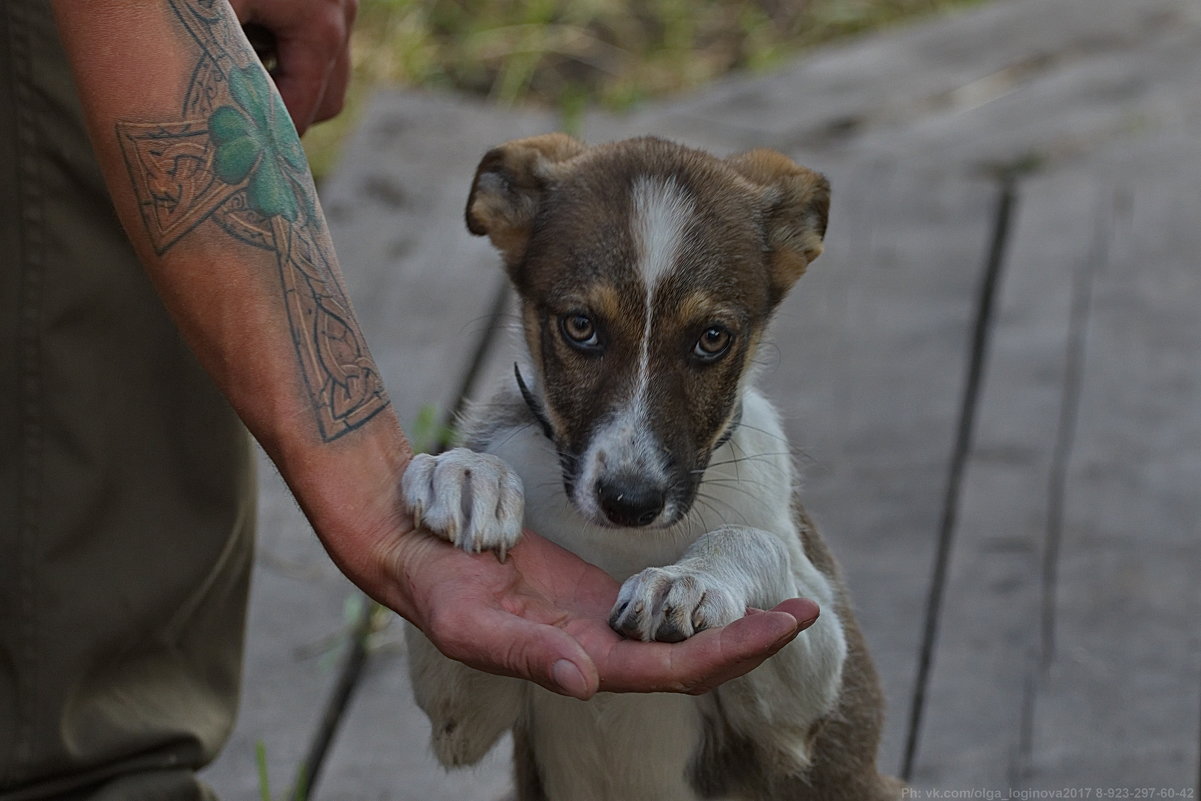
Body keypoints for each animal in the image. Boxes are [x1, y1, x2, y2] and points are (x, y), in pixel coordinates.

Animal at [403, 136, 903, 801]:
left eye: (713, 338)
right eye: (580, 327)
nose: (630, 501)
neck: (620, 544)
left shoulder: (806, 722)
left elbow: (753, 540)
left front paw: (688, 580)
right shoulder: (462, 721)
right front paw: (464, 473)